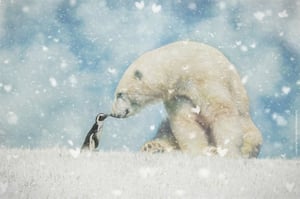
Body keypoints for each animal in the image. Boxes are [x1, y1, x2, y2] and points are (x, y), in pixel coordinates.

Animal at [110, 41, 262, 158]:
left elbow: (221, 111)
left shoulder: (206, 78)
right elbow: (185, 121)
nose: (114, 113)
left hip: (249, 126)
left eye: (120, 94)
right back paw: (152, 146)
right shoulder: (178, 96)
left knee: (251, 137)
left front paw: (227, 152)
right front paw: (200, 151)